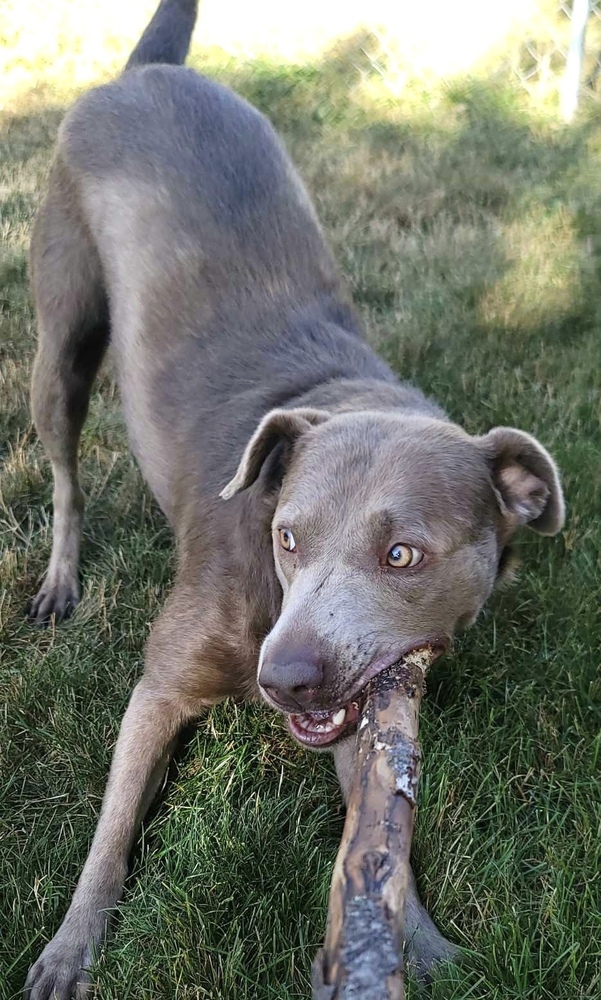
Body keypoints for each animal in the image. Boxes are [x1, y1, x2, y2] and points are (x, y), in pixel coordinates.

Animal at [24, 3, 564, 996]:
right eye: (285, 537)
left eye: (402, 554)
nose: (282, 677)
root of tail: (148, 70)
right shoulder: (158, 689)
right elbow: (110, 835)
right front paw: (70, 950)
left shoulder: (361, 703)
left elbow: (380, 824)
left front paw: (416, 941)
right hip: (64, 322)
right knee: (67, 468)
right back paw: (60, 579)